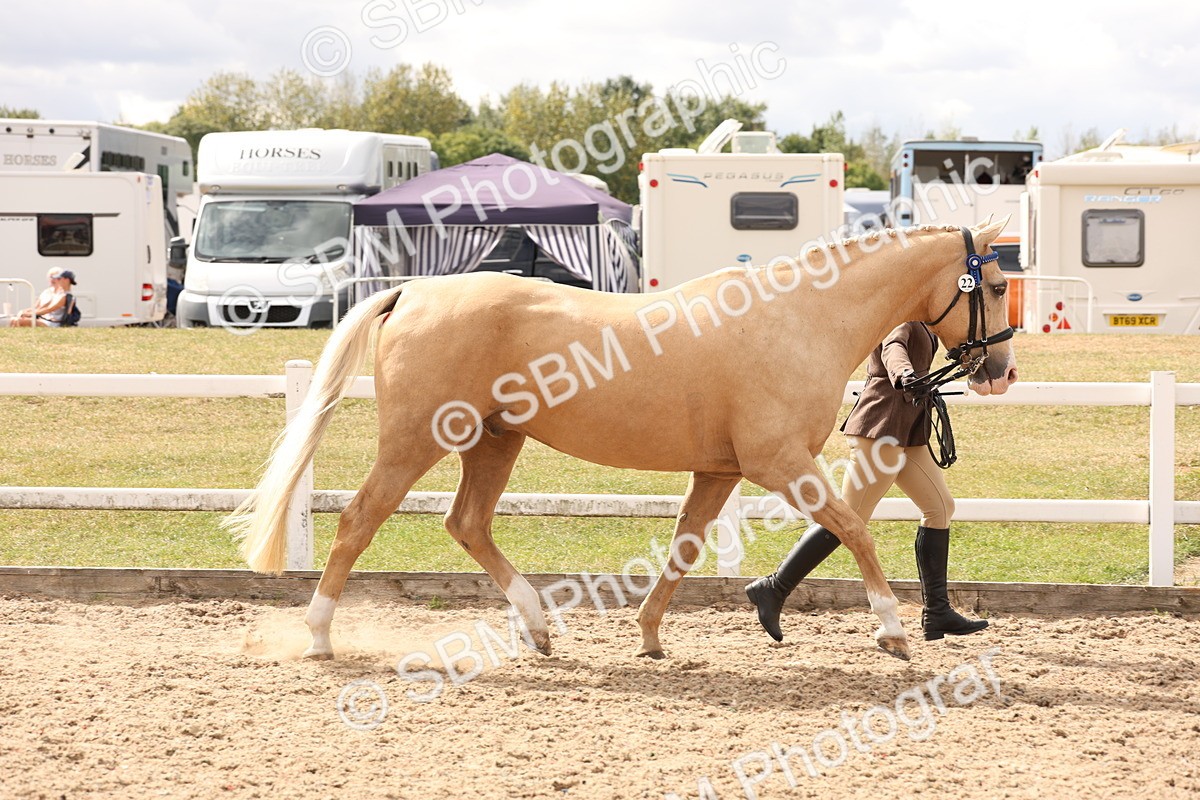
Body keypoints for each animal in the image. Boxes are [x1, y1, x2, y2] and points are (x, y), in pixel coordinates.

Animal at [226, 218, 1018, 663]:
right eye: (998, 284)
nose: (1003, 370)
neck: (797, 319)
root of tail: (413, 292)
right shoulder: (779, 463)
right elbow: (854, 528)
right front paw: (892, 632)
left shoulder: (720, 472)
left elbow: (684, 548)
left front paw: (650, 637)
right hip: (416, 441)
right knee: (361, 520)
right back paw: (319, 636)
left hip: (494, 441)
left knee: (468, 523)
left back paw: (539, 629)